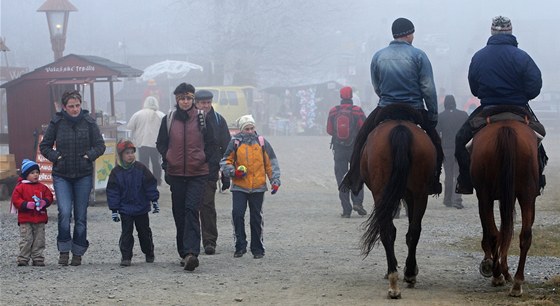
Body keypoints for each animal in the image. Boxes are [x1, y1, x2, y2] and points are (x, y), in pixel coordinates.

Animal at [358, 105, 438, 298]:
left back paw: (396, 280)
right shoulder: (410, 195)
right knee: (412, 231)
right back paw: (405, 275)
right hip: (419, 193)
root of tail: (400, 128)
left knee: (389, 231)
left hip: (386, 193)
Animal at [470, 117, 540, 296]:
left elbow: (499, 231)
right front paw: (505, 271)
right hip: (527, 194)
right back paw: (516, 282)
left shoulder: (484, 196)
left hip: (486, 194)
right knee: (524, 235)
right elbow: (506, 231)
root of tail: (505, 129)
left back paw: (498, 276)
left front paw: (496, 268)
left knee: (495, 233)